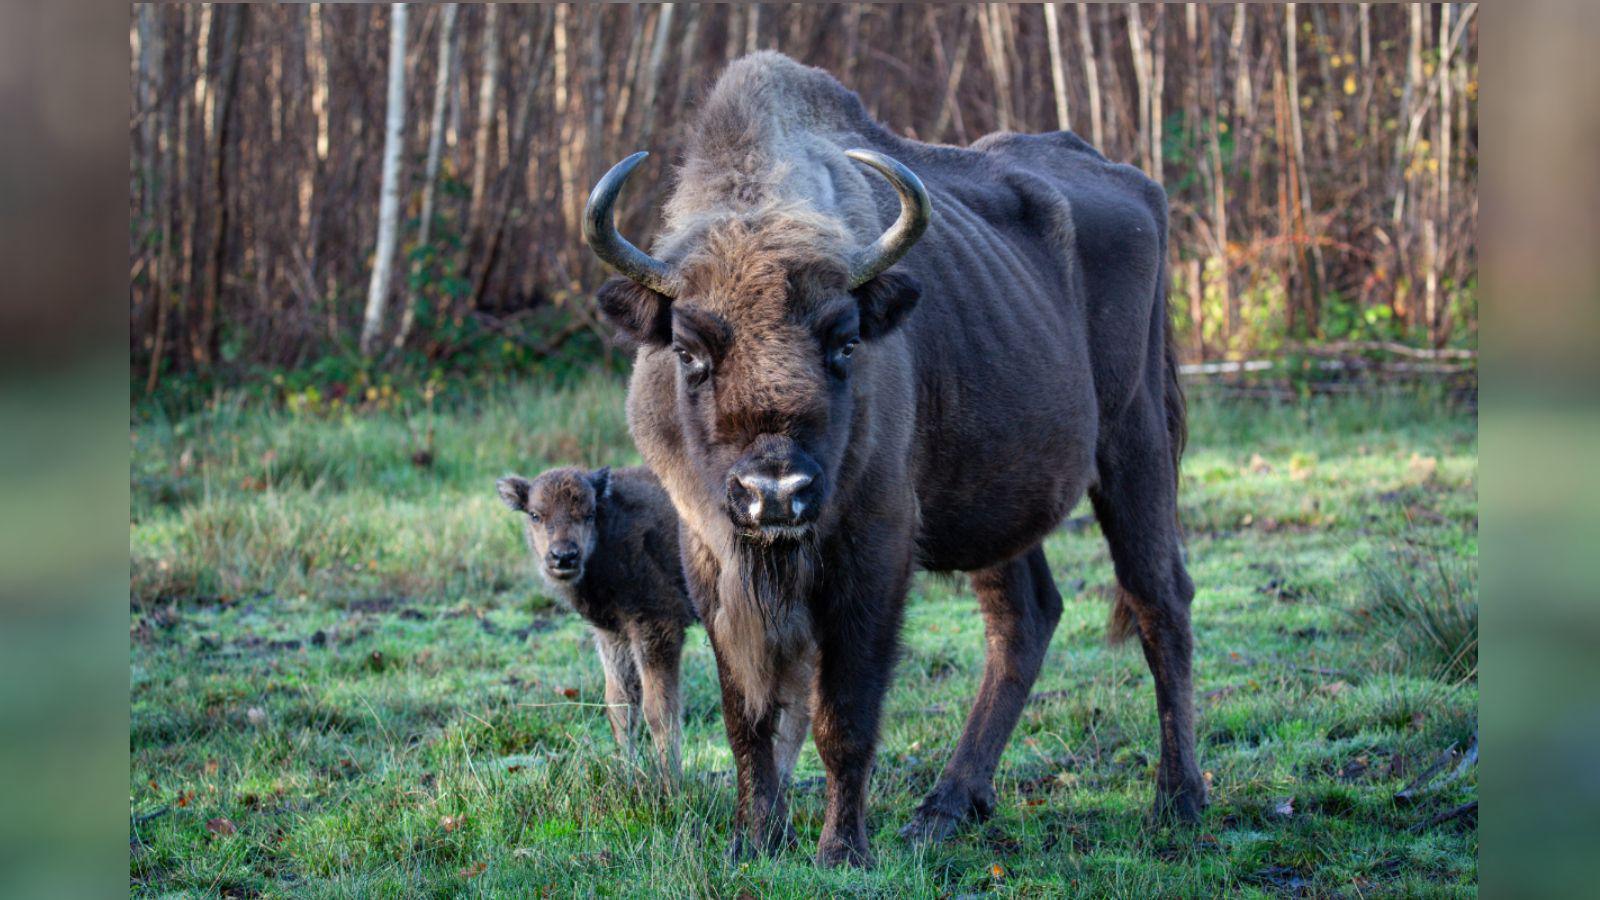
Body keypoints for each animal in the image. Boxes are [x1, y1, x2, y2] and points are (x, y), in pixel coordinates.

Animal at [583, 52, 1202, 866]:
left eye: (846, 341)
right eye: (688, 352)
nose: (775, 493)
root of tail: (1137, 187)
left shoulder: (874, 545)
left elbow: (842, 715)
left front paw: (841, 850)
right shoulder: (709, 552)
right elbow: (747, 712)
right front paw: (753, 840)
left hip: (1135, 444)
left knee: (1160, 600)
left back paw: (1178, 802)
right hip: (998, 502)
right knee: (1026, 618)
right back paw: (945, 807)